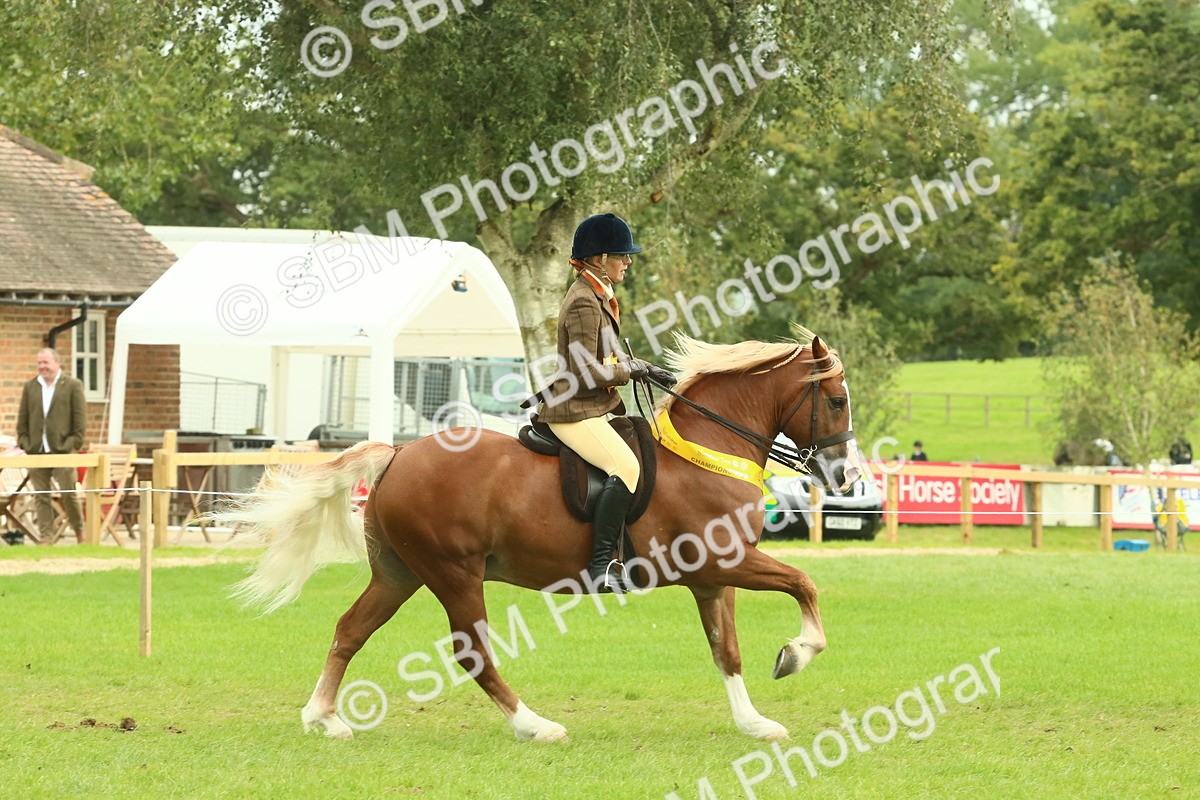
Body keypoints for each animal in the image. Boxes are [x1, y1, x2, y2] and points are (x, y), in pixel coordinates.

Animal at [227, 331, 863, 743]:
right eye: (835, 401)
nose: (848, 478)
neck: (708, 450)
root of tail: (400, 454)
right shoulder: (725, 562)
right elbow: (804, 583)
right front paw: (797, 654)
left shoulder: (714, 577)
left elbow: (725, 648)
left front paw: (754, 722)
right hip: (454, 574)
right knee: (472, 652)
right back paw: (535, 726)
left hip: (400, 573)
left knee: (350, 630)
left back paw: (323, 718)